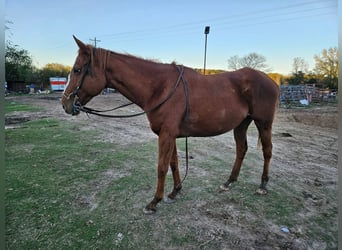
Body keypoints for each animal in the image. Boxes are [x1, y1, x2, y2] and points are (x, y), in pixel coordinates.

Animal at [61, 36, 280, 214]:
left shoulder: (166, 135)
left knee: (267, 151)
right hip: (241, 124)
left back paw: (263, 185)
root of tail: (272, 81)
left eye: (77, 70)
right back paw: (229, 181)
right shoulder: (171, 135)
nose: (65, 103)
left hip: (264, 123)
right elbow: (173, 163)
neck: (160, 87)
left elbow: (161, 167)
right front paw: (175, 191)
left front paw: (154, 202)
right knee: (241, 149)